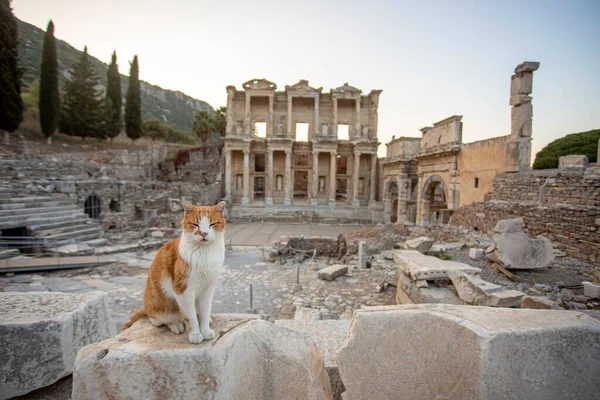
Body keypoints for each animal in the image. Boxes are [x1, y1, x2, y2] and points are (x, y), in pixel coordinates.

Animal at [123, 200, 226, 344]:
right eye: (195, 224)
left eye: (212, 224)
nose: (204, 233)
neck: (205, 253)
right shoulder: (183, 289)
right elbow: (190, 317)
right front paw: (195, 334)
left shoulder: (208, 287)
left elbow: (205, 311)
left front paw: (205, 329)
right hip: (160, 307)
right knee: (159, 321)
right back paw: (175, 324)